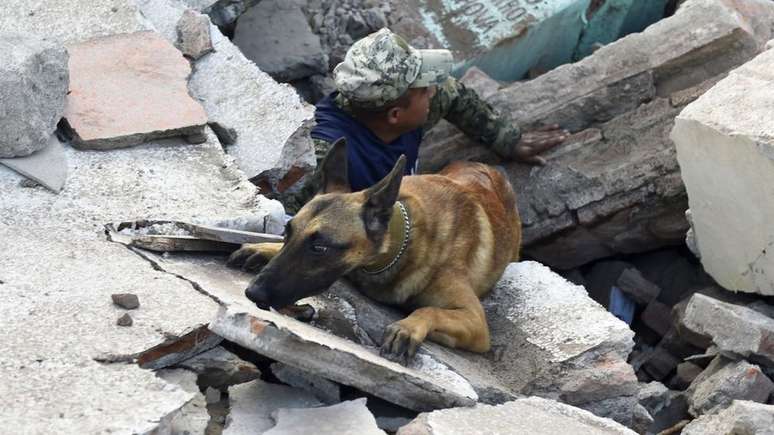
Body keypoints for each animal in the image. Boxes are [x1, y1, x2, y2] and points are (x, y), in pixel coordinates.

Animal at [227, 138, 524, 362]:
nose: (252, 292)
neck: (401, 242)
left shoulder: (476, 323)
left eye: (320, 247)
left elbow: (430, 310)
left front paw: (407, 328)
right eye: (287, 233)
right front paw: (265, 247)